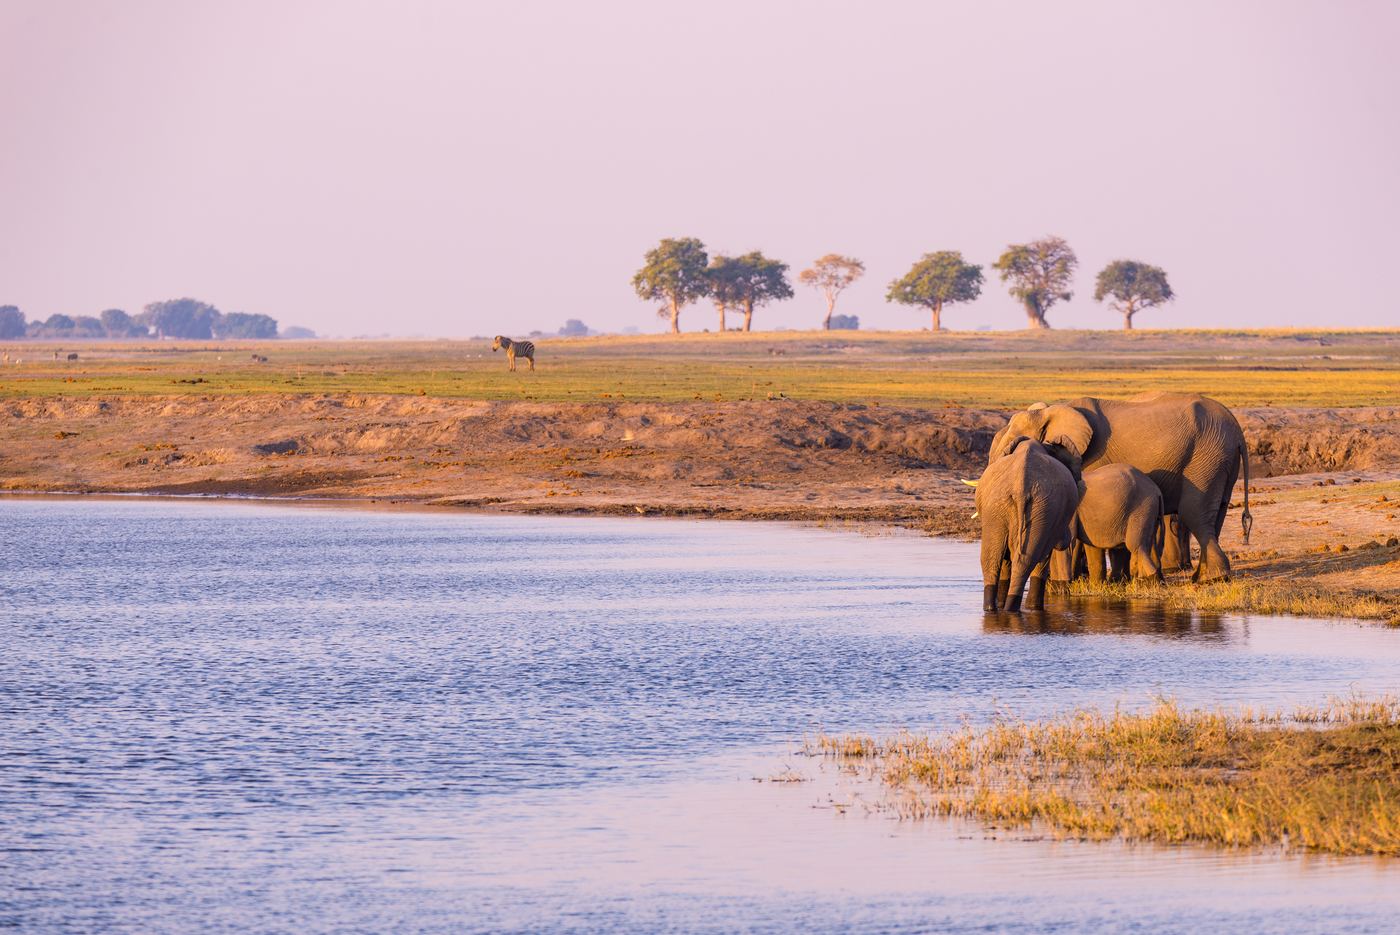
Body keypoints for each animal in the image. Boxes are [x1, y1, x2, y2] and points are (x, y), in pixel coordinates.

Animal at [973, 436, 1080, 613]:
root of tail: (1020, 487)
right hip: (1034, 507)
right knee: (1024, 559)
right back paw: (1013, 609)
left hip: (1011, 507)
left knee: (994, 558)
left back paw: (997, 609)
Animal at [988, 393, 1251, 582]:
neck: (1052, 411)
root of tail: (1238, 433)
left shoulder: (1089, 458)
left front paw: (1078, 579)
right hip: (1220, 462)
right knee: (1215, 515)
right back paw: (1203, 576)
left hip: (1206, 459)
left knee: (1194, 513)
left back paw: (1209, 579)